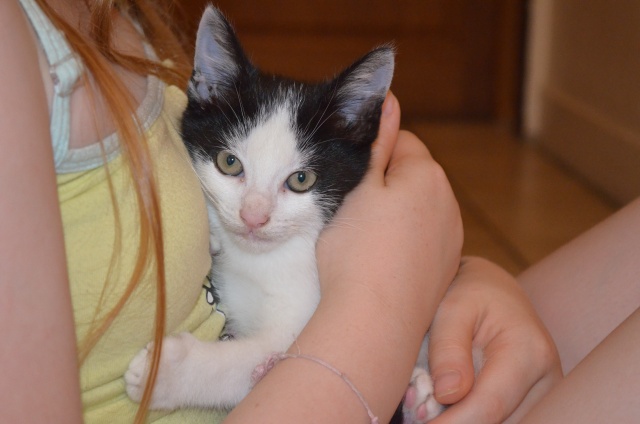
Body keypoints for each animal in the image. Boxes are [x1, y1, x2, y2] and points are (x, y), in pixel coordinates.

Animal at [126, 6, 444, 424]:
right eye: (229, 163)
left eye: (301, 180)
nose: (253, 217)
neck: (258, 261)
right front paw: (214, 238)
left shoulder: (300, 319)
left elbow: (248, 362)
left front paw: (163, 374)